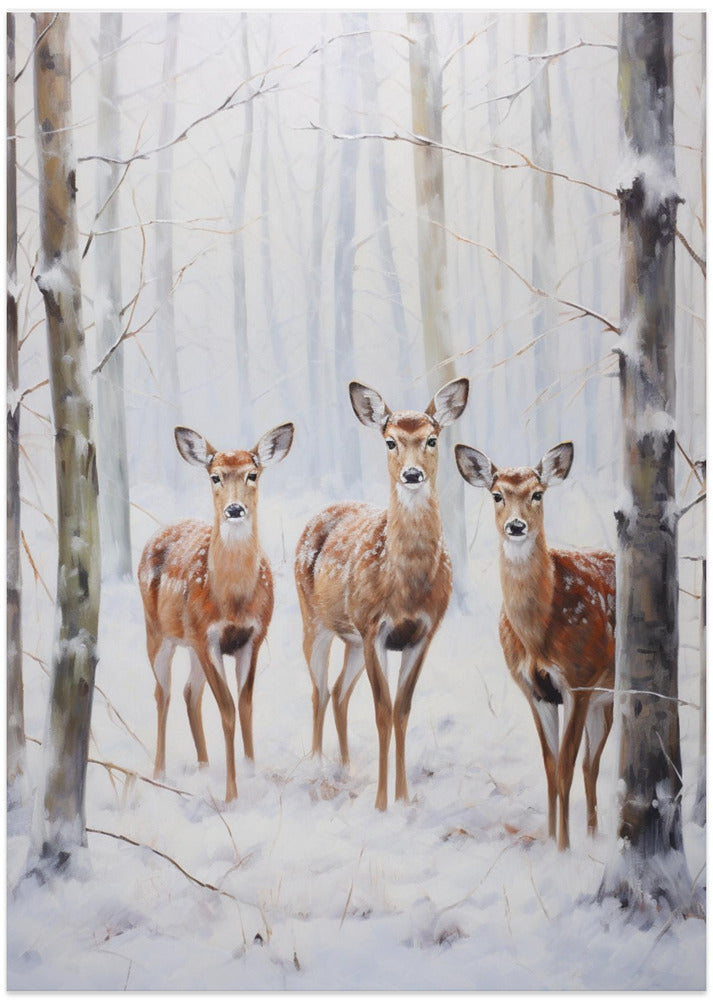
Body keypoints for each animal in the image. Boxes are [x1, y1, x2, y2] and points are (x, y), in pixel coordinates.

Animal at [138, 422, 294, 803]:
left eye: (253, 473)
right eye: (215, 476)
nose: (235, 509)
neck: (233, 599)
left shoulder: (252, 637)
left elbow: (246, 704)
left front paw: (252, 774)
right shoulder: (207, 638)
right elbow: (226, 709)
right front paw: (232, 793)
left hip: (191, 645)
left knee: (189, 693)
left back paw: (205, 767)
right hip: (158, 633)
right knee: (163, 693)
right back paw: (160, 773)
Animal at [294, 377, 469, 811]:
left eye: (431, 439)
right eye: (390, 441)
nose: (412, 474)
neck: (406, 587)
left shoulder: (422, 633)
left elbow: (402, 710)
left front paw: (403, 797)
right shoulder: (375, 628)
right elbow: (381, 711)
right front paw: (380, 803)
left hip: (353, 640)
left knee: (339, 691)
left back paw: (345, 766)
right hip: (315, 621)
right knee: (319, 691)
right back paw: (318, 764)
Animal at [454, 441, 615, 850]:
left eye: (537, 494)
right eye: (497, 494)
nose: (516, 526)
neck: (536, 636)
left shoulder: (578, 680)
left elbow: (565, 767)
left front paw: (563, 849)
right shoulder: (535, 690)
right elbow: (550, 766)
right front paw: (551, 839)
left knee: (589, 762)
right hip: (603, 700)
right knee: (592, 764)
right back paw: (594, 834)